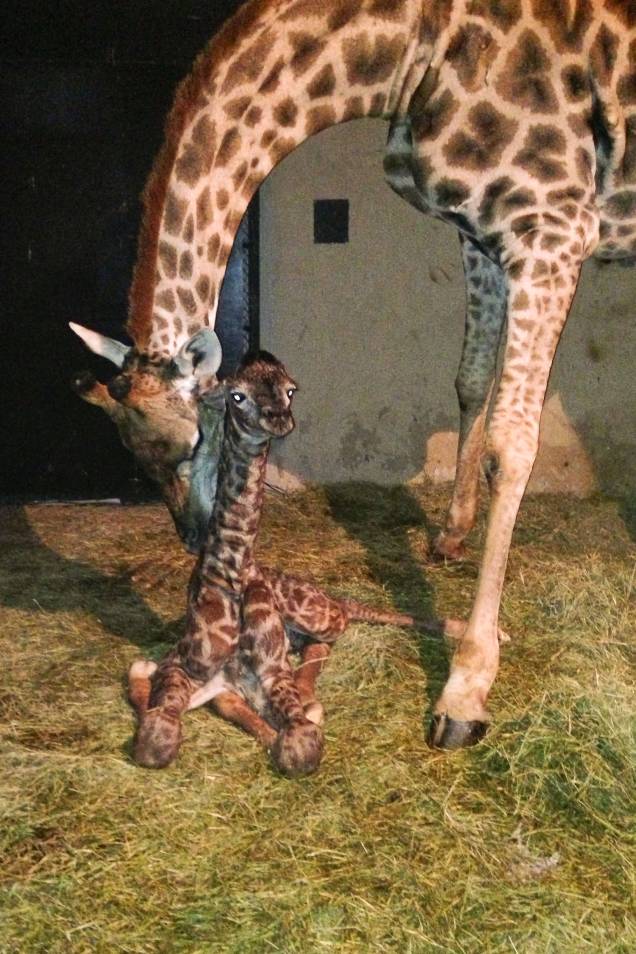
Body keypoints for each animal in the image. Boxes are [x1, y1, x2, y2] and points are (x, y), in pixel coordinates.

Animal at [126, 346, 470, 776]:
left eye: (291, 390)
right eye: (237, 395)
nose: (278, 418)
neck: (233, 572)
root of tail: (327, 594)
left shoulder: (273, 673)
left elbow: (298, 745)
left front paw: (296, 721)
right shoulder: (186, 665)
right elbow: (155, 735)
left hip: (318, 615)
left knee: (334, 631)